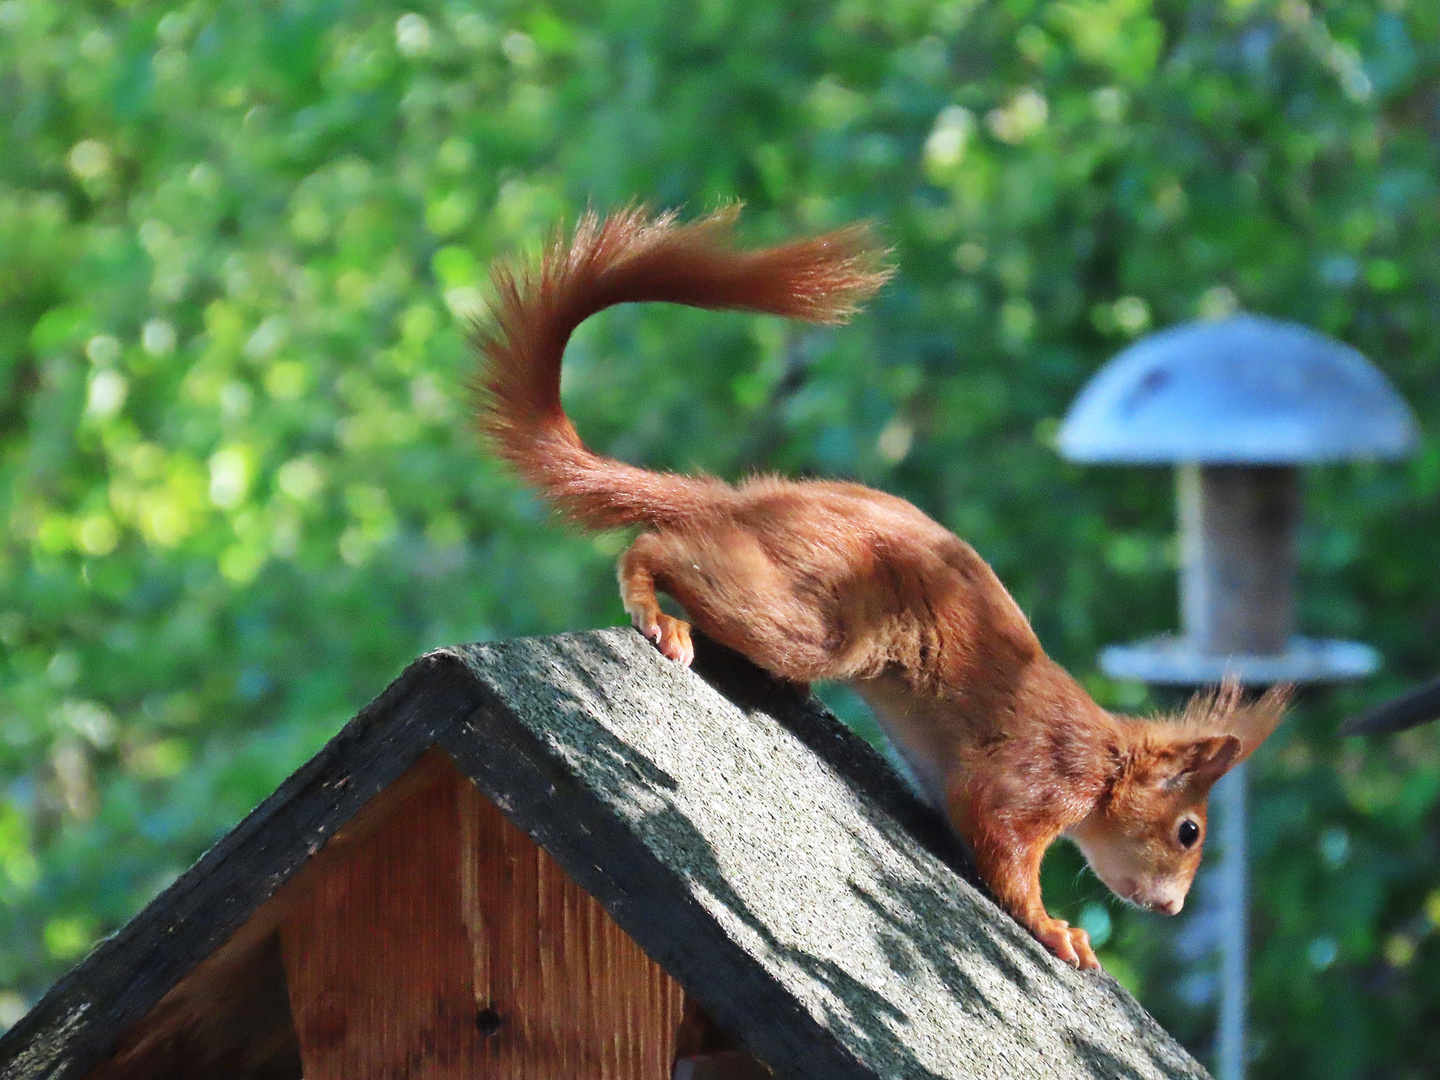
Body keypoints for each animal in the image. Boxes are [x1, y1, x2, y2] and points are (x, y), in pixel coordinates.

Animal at [475, 204, 1296, 973]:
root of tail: (748, 503)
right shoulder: (1040, 773)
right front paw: (1058, 931)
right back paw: (661, 617)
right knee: (658, 548)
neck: (1106, 759)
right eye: (1188, 830)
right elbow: (999, 840)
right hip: (812, 617)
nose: (1172, 906)